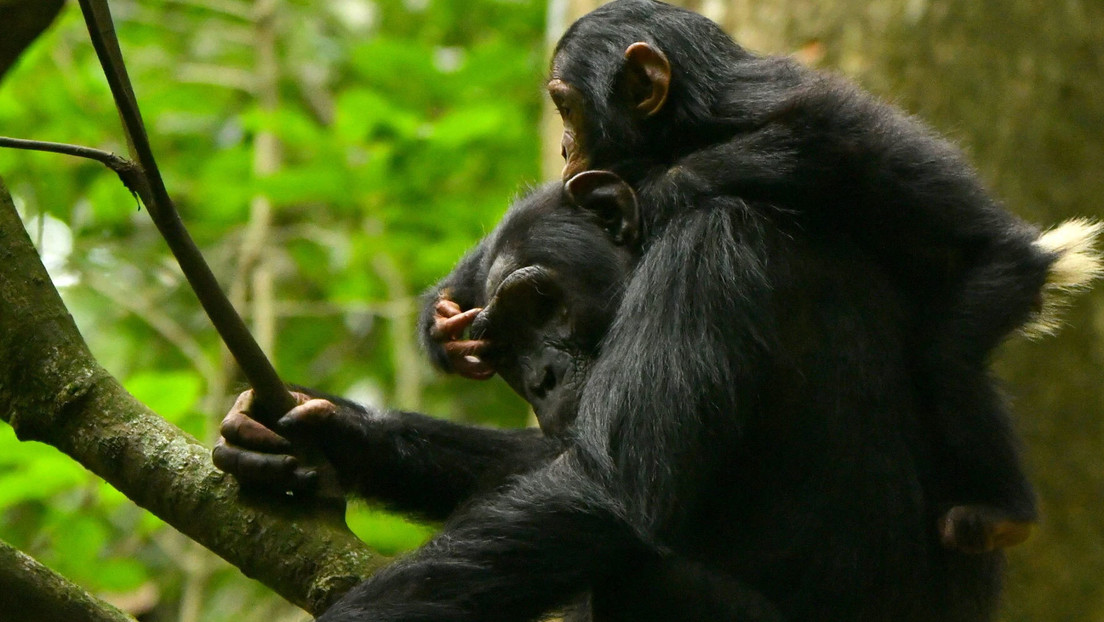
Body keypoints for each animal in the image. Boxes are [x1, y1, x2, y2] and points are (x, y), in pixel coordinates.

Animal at [536, 0, 1104, 554]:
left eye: (567, 108)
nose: (563, 147)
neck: (687, 118)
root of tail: (1044, 252)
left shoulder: (759, 102)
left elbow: (813, 134)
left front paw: (648, 190)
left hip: (1002, 276)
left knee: (949, 362)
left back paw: (1003, 513)